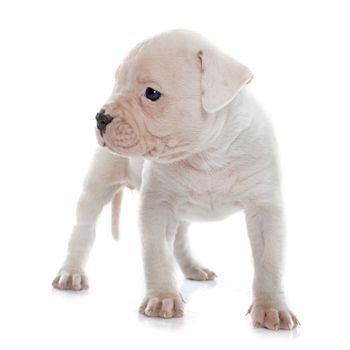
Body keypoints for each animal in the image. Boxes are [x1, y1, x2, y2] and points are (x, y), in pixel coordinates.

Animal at [52, 28, 298, 330]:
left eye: (152, 93)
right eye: (117, 83)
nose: (100, 117)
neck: (208, 155)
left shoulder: (265, 208)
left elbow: (269, 261)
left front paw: (272, 307)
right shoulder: (157, 206)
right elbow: (157, 254)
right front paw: (162, 299)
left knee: (179, 239)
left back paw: (194, 268)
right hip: (98, 183)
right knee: (84, 229)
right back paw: (71, 273)